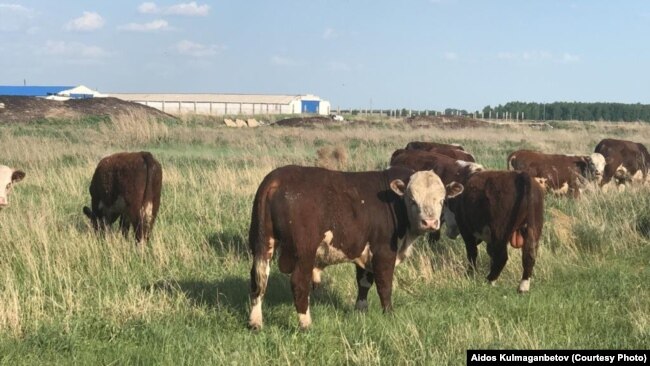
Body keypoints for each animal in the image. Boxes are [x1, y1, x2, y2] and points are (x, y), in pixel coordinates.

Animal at [246, 164, 464, 330]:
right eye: (412, 200)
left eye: (442, 200)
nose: (430, 222)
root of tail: (275, 179)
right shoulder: (384, 251)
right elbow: (385, 285)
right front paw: (389, 313)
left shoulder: (364, 250)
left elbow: (364, 282)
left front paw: (361, 310)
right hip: (304, 251)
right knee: (298, 282)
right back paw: (306, 324)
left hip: (262, 244)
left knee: (258, 280)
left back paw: (255, 322)